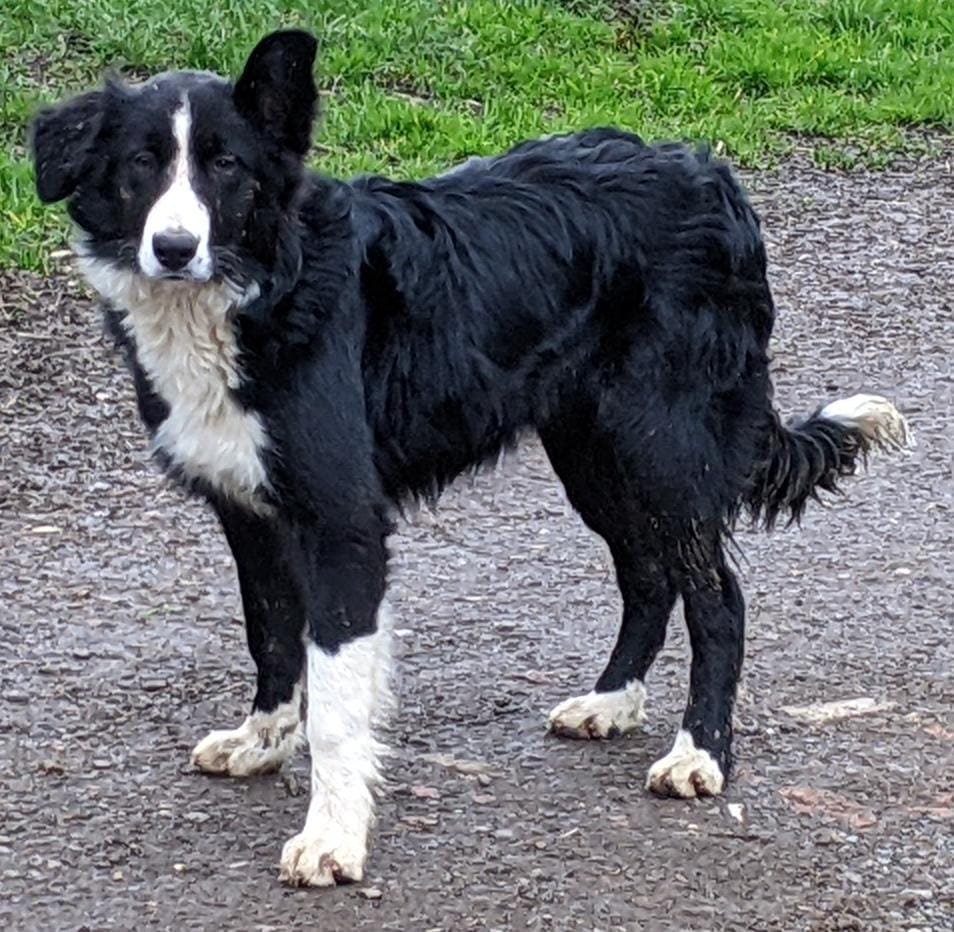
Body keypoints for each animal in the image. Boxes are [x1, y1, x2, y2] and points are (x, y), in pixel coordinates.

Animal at [31, 29, 908, 888]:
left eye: (226, 166)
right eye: (141, 164)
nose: (175, 247)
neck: (264, 285)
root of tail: (712, 175)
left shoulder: (341, 520)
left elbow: (338, 701)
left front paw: (332, 838)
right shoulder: (250, 512)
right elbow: (271, 636)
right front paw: (263, 739)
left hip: (665, 450)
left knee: (718, 598)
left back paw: (699, 752)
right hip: (593, 454)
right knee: (648, 577)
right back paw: (612, 702)